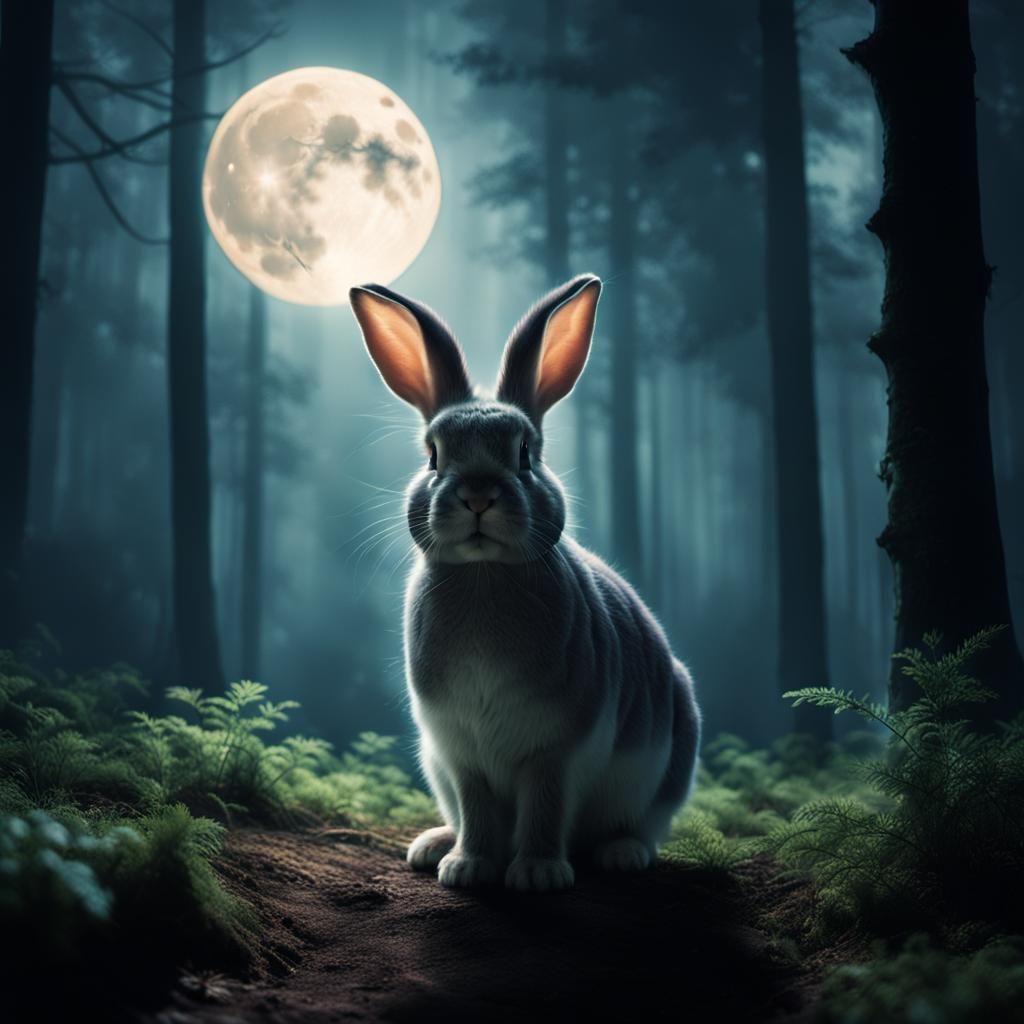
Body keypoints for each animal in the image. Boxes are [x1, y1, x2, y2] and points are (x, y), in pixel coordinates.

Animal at [349, 273, 701, 892]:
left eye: (525, 453)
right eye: (434, 455)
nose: (478, 496)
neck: (486, 573)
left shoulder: (554, 749)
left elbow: (544, 804)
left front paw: (537, 873)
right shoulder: (459, 752)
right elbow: (477, 807)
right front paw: (466, 867)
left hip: (670, 760)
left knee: (643, 826)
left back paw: (622, 853)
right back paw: (433, 845)